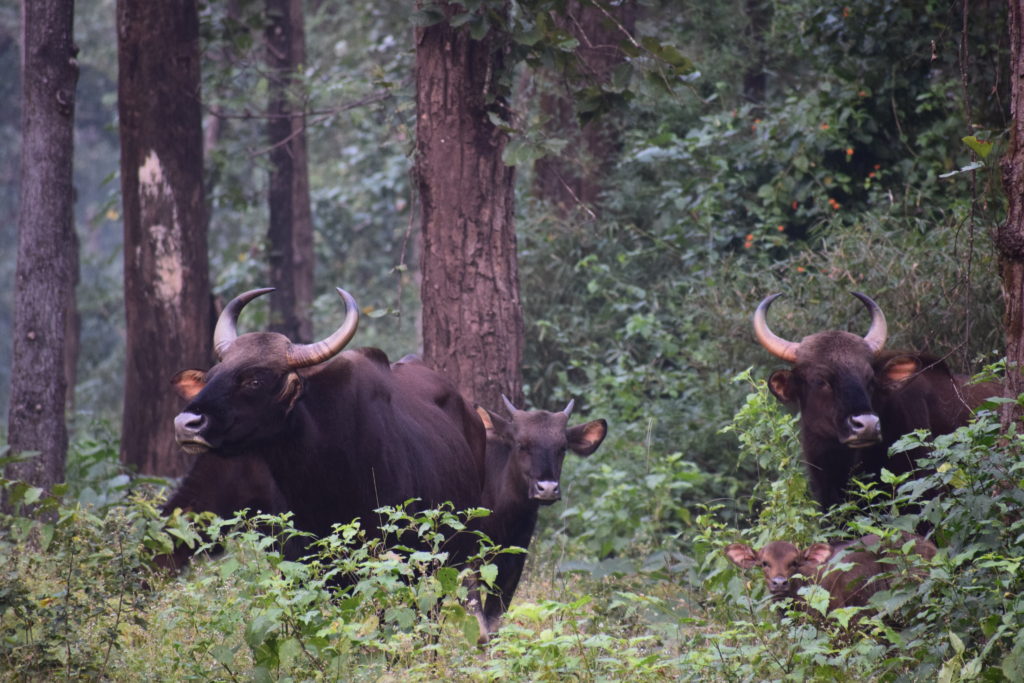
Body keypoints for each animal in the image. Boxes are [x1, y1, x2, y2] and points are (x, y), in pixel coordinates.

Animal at [473, 395, 606, 643]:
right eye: (521, 444)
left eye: (562, 448)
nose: (547, 489)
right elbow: (481, 627)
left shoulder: (513, 565)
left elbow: (494, 623)